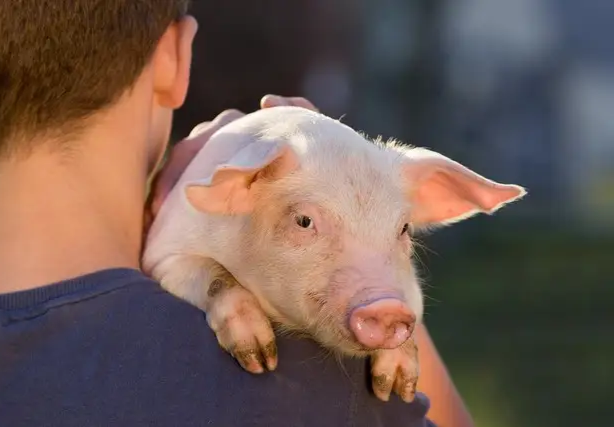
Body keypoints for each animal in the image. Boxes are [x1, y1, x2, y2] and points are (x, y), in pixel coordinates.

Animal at [142, 106, 528, 404]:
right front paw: (260, 361)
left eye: (404, 228)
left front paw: (394, 389)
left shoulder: (410, 290)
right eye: (304, 220)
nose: (386, 308)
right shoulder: (164, 251)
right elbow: (216, 276)